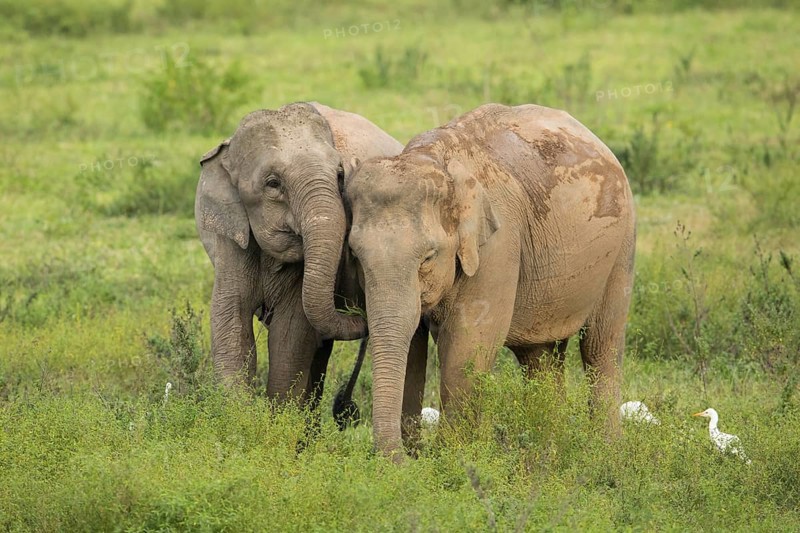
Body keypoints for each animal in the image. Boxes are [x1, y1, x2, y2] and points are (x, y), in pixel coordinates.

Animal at [194, 101, 402, 406]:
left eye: (340, 175)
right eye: (273, 183)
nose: (359, 314)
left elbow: (290, 333)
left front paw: (277, 416)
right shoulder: (229, 241)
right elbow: (231, 320)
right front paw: (239, 413)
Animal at [344, 103, 636, 457]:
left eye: (428, 257)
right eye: (354, 255)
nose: (399, 460)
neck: (432, 157)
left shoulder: (499, 245)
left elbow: (467, 346)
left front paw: (450, 458)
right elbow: (412, 346)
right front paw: (418, 456)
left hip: (621, 249)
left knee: (600, 347)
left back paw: (605, 453)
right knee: (540, 358)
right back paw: (548, 453)